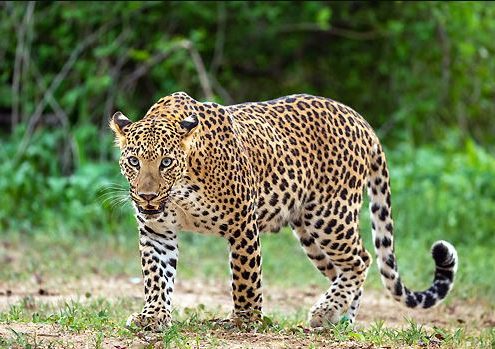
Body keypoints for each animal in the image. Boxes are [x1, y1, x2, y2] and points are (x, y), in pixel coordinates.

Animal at [110, 91, 460, 330]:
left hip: (330, 215)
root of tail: (362, 121)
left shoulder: (242, 224)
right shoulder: (156, 231)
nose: (147, 196)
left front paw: (245, 321)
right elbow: (156, 276)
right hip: (309, 232)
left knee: (361, 259)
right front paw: (153, 316)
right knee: (343, 270)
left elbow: (245, 278)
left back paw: (325, 312)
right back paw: (339, 319)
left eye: (166, 162)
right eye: (134, 161)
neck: (181, 190)